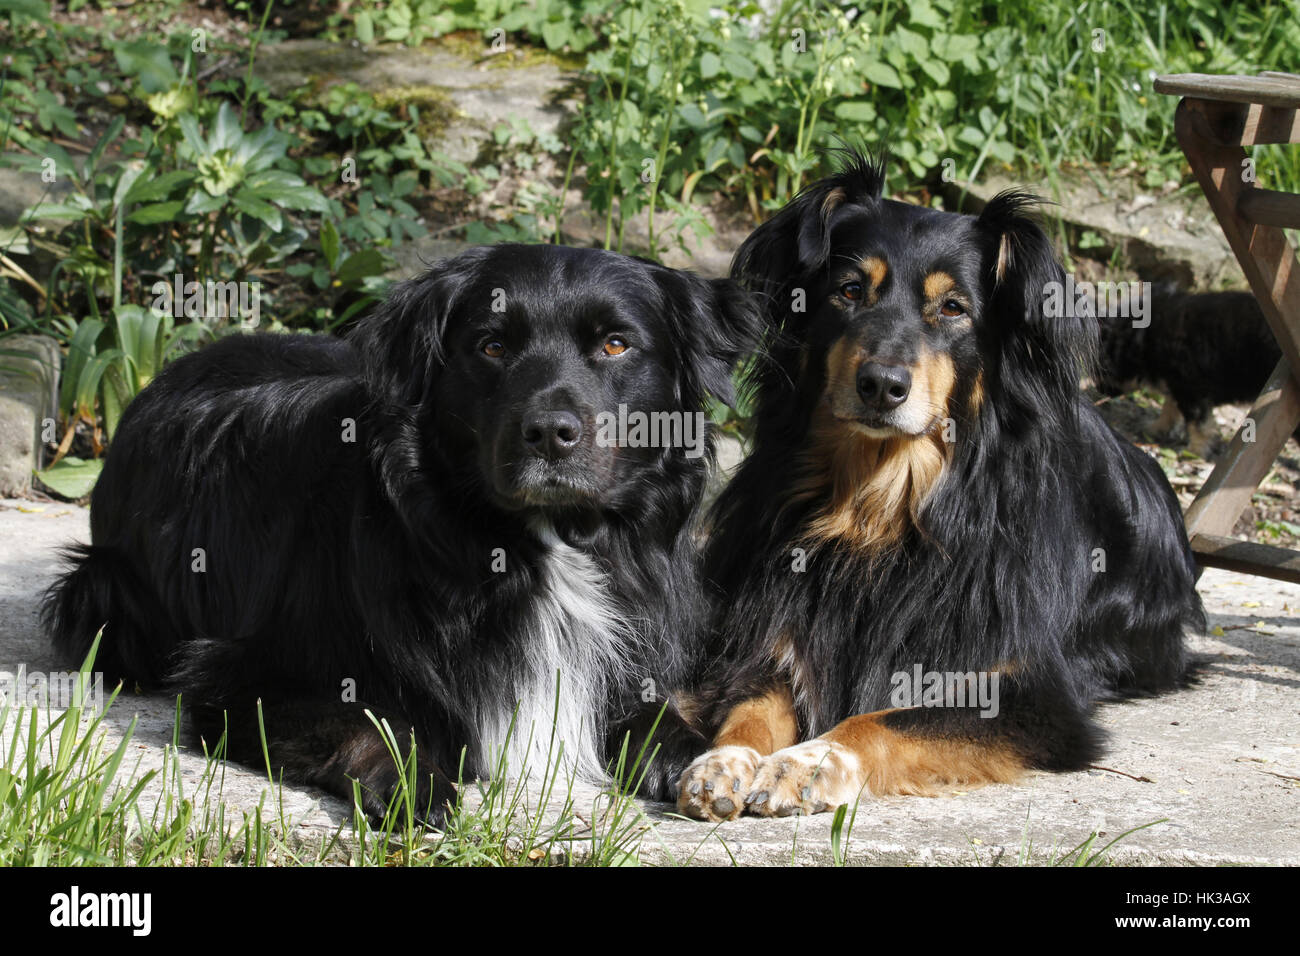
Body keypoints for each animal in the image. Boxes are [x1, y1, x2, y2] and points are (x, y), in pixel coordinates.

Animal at [45, 244, 759, 822]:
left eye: (615, 345)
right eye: (491, 346)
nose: (550, 434)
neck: (535, 540)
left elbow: (657, 714)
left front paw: (701, 762)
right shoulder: (238, 675)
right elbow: (367, 721)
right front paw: (417, 782)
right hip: (102, 592)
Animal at [676, 151, 1201, 822]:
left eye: (953, 308)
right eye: (849, 291)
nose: (882, 385)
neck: (880, 502)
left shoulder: (1029, 690)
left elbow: (887, 718)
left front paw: (811, 761)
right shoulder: (771, 626)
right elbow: (751, 702)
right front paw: (723, 762)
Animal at [1097, 282, 1289, 457]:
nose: (1100, 391)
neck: (1145, 337)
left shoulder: (1192, 390)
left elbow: (1197, 424)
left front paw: (1195, 451)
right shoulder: (1177, 385)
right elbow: (1170, 406)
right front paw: (1157, 427)